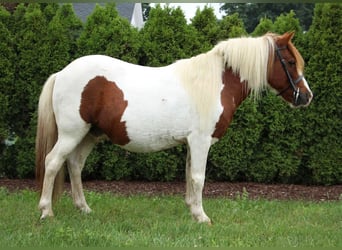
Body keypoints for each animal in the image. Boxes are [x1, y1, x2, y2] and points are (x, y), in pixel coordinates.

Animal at [35, 32, 312, 224]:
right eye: (289, 61)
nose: (306, 97)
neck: (214, 83)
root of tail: (61, 73)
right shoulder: (200, 141)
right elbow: (199, 178)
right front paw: (202, 217)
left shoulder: (191, 143)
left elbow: (190, 176)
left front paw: (192, 211)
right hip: (71, 134)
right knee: (53, 162)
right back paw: (46, 211)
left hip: (89, 135)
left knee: (75, 165)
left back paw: (84, 209)